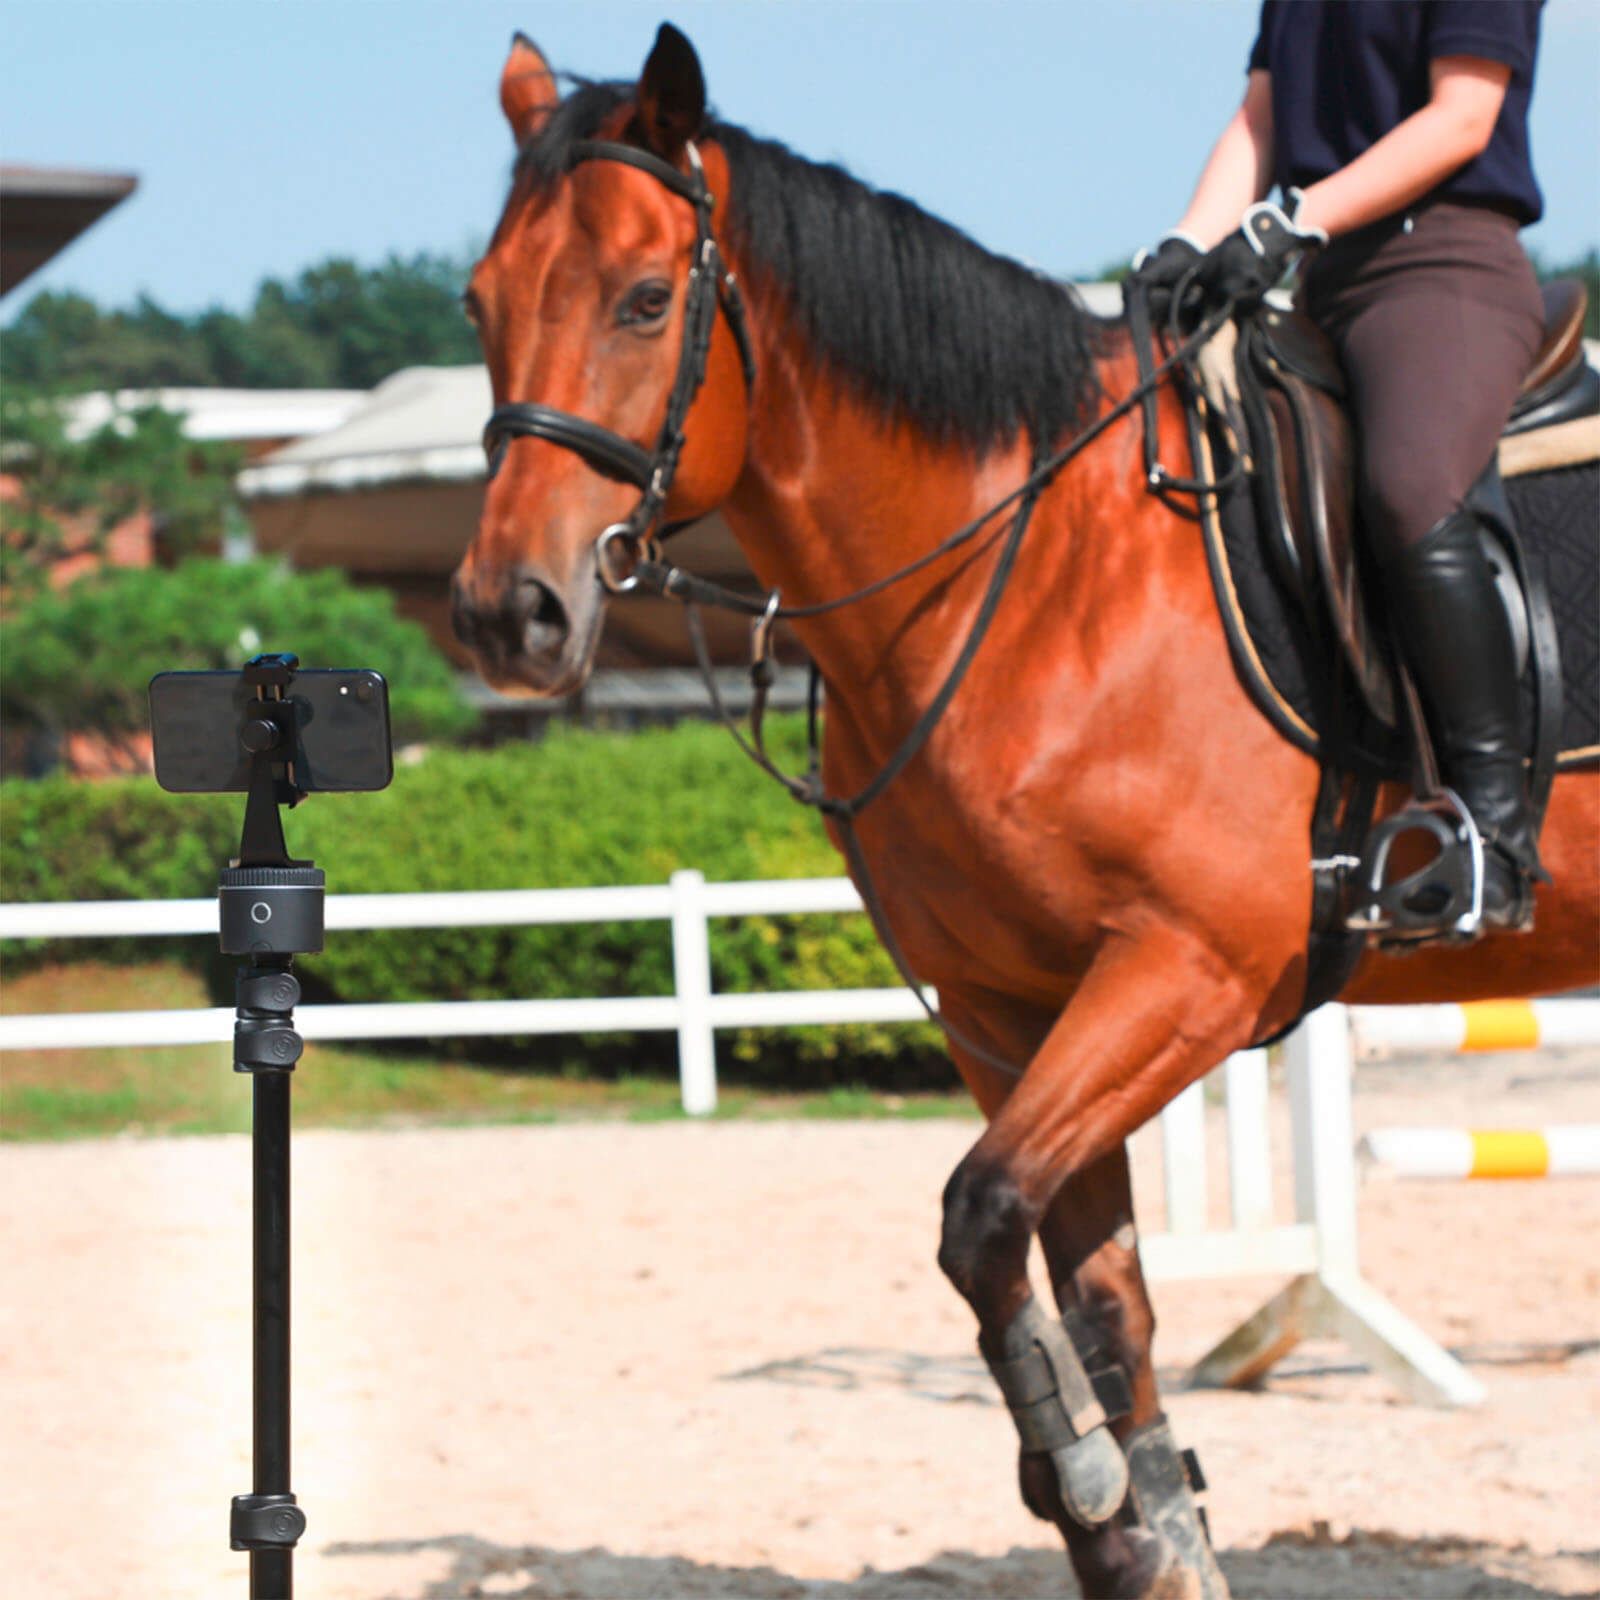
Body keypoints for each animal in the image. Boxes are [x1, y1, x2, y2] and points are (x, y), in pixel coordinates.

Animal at [448, 25, 1600, 1600]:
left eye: (642, 299)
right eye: (479, 302)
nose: (508, 614)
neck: (1031, 571)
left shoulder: (1191, 971)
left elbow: (981, 1215)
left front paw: (1089, 1486)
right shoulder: (1007, 1006)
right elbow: (1091, 1293)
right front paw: (1139, 1529)